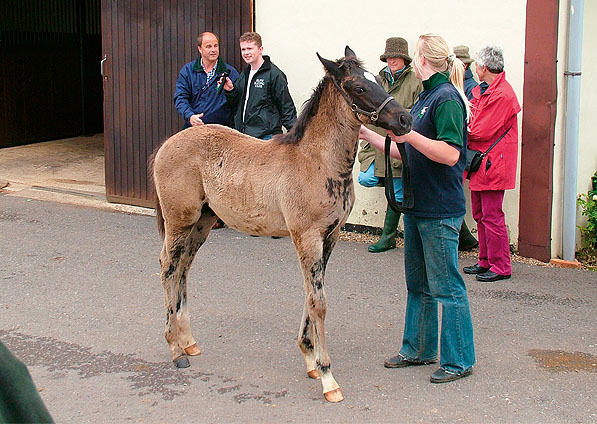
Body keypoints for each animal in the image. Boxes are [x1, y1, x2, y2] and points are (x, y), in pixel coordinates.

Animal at [151, 48, 410, 402]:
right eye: (358, 87)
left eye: (379, 81)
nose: (405, 120)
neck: (318, 162)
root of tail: (166, 145)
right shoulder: (307, 236)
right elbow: (318, 302)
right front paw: (328, 377)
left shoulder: (329, 237)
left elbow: (312, 294)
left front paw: (309, 358)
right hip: (180, 219)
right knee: (167, 265)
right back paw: (175, 350)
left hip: (202, 222)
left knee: (183, 267)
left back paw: (188, 342)